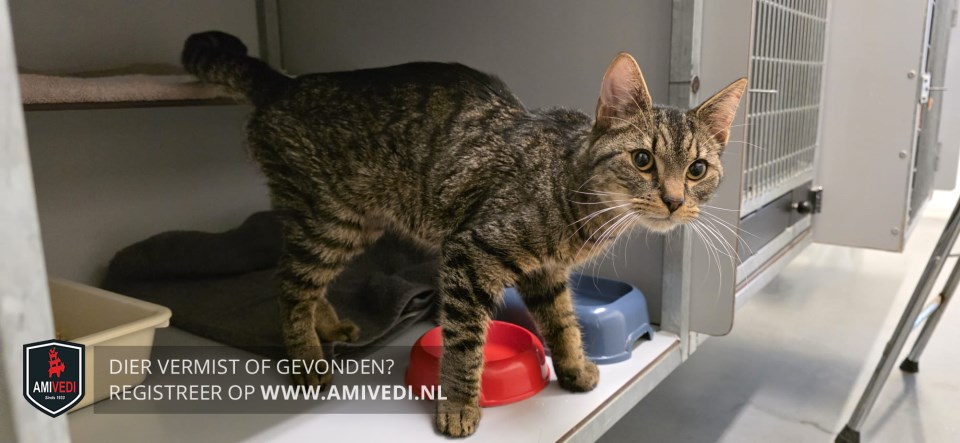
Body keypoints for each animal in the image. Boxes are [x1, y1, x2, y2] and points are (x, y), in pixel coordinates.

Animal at [182, 31, 746, 437]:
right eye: (643, 159)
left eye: (697, 170)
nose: (674, 200)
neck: (573, 189)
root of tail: (283, 82)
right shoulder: (471, 254)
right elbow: (464, 343)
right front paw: (457, 404)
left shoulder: (546, 273)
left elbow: (562, 323)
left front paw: (574, 368)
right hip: (328, 218)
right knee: (288, 285)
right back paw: (308, 362)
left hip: (351, 222)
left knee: (305, 280)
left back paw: (330, 328)